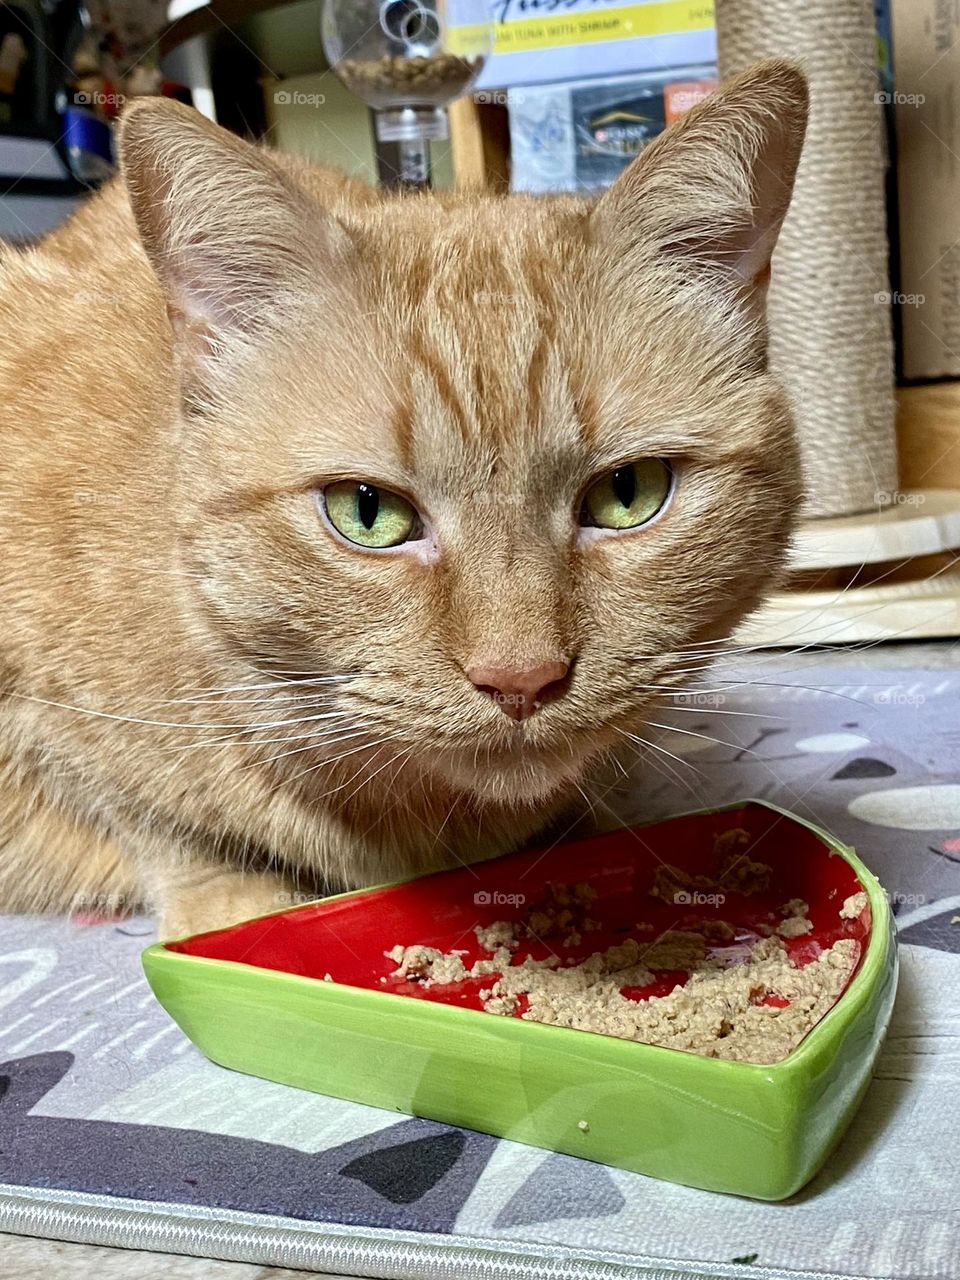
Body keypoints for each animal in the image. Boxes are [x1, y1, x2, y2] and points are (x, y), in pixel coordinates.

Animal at [0, 60, 808, 936]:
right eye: (367, 512)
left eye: (628, 494)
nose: (521, 680)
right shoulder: (50, 710)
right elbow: (156, 821)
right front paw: (230, 903)